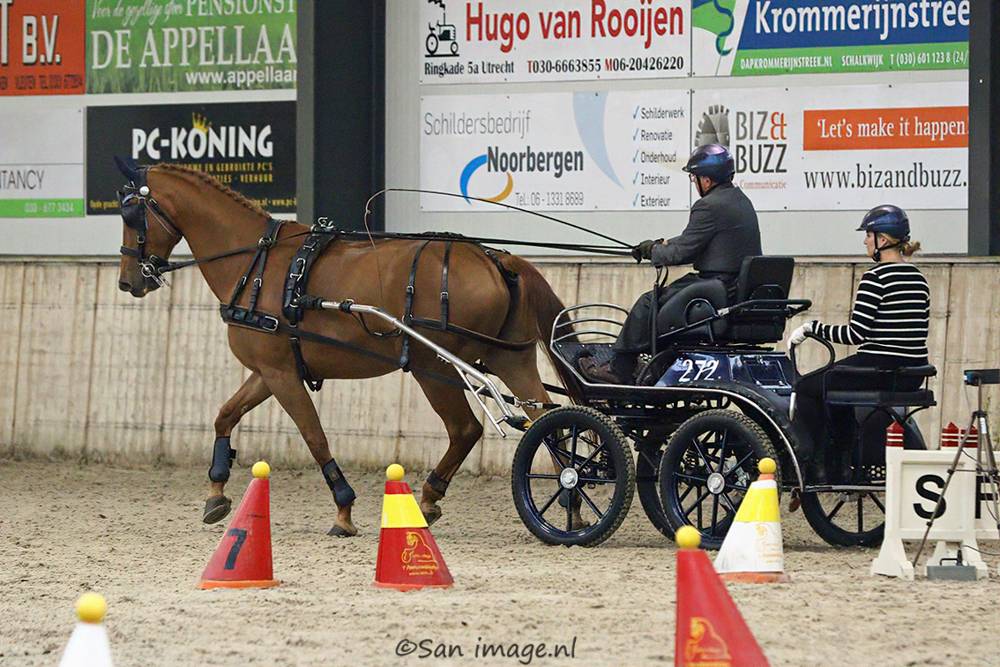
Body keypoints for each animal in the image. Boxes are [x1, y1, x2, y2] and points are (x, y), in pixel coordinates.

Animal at [116, 163, 582, 536]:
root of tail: (496, 259)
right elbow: (225, 415)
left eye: (131, 214)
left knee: (467, 429)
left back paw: (431, 498)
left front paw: (343, 509)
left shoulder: (282, 375)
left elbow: (314, 437)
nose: (127, 282)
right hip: (511, 358)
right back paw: (571, 499)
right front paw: (215, 491)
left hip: (435, 365)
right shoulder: (269, 371)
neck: (257, 265)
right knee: (550, 422)